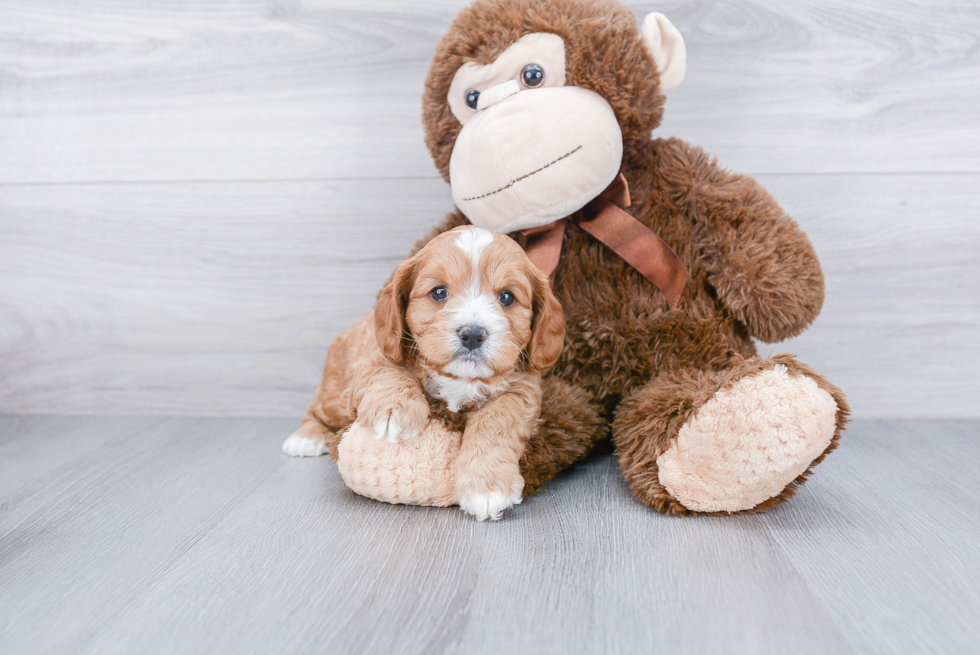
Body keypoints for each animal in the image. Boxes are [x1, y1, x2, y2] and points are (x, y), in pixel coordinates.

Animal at [280, 227, 564, 524]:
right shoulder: (374, 354)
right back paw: (306, 437)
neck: (460, 379)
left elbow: (497, 420)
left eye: (507, 297)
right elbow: (387, 371)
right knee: (316, 410)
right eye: (439, 292)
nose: (473, 334)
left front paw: (487, 488)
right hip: (334, 395)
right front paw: (393, 410)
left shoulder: (523, 388)